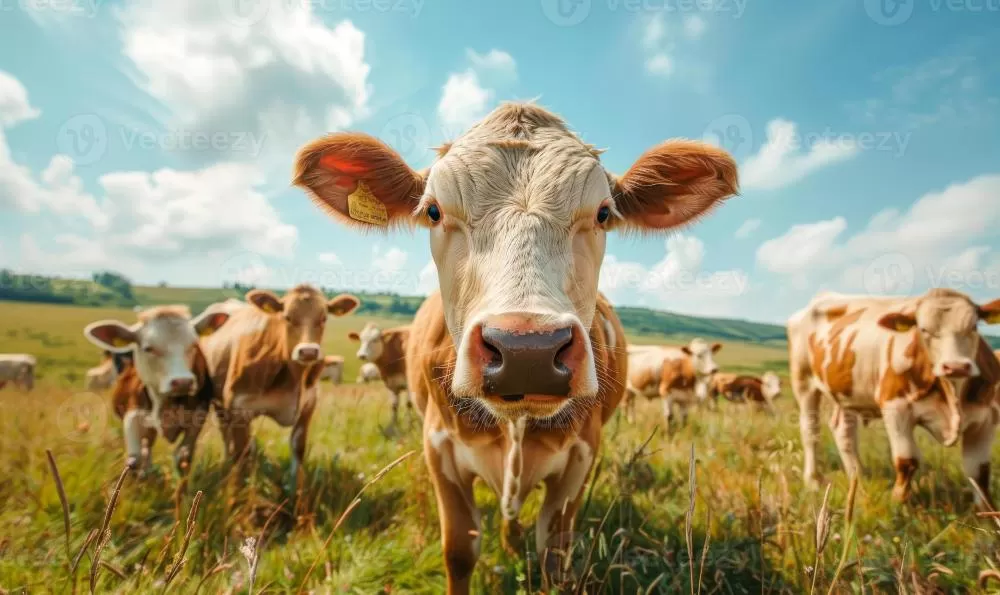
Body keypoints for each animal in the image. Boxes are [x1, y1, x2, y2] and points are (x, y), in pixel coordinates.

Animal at [83, 305, 230, 472]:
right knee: (146, 449)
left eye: (194, 345)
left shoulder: (197, 415)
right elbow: (134, 459)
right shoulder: (133, 414)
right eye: (148, 348)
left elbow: (183, 457)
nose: (183, 381)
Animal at [200, 286, 360, 493]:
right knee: (227, 437)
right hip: (220, 405)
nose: (308, 351)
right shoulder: (239, 408)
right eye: (287, 317)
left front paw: (296, 492)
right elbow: (242, 454)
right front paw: (238, 493)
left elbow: (298, 448)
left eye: (323, 318)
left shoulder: (308, 405)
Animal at [292, 101, 737, 592]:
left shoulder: (581, 457)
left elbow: (553, 556)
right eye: (433, 211)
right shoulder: (438, 449)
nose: (528, 352)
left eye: (603, 214)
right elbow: (460, 550)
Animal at [788, 289, 1000, 503]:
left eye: (974, 326)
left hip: (846, 391)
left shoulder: (986, 419)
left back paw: (858, 479)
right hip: (803, 382)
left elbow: (979, 471)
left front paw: (986, 511)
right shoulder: (896, 408)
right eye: (923, 330)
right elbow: (907, 460)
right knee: (810, 431)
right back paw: (813, 481)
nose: (956, 366)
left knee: (843, 431)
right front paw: (898, 500)